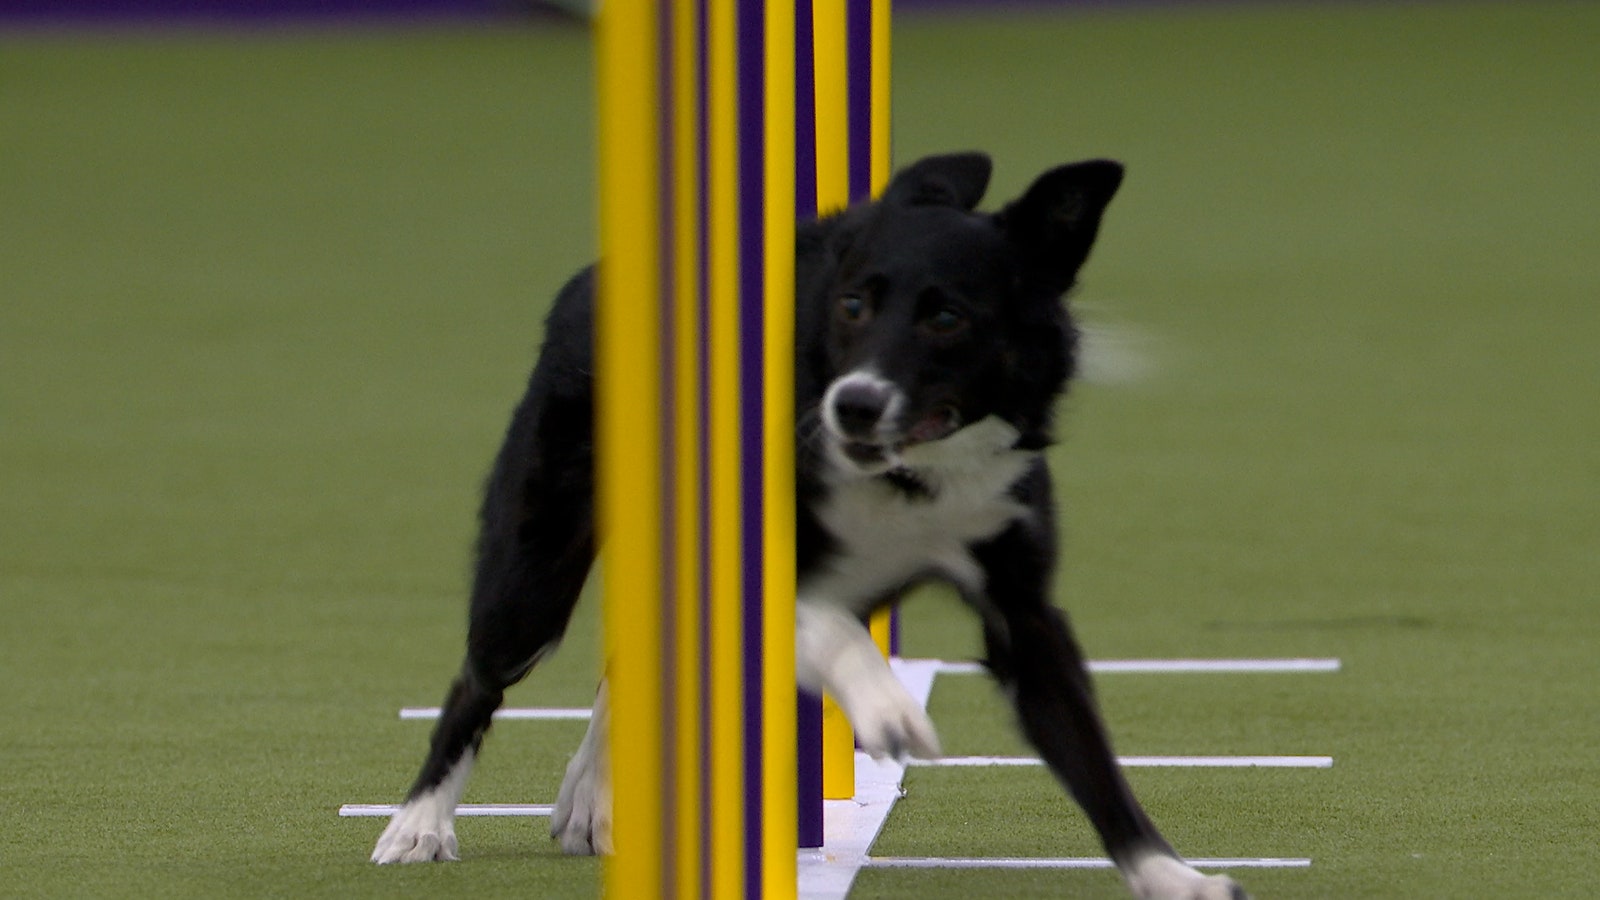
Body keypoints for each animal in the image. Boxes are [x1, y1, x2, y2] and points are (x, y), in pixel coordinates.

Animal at [374, 153, 1248, 896]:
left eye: (948, 318)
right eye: (852, 304)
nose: (852, 404)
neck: (909, 477)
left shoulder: (1022, 607)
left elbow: (1092, 758)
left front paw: (1173, 876)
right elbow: (827, 625)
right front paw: (890, 710)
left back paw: (590, 798)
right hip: (535, 566)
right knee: (480, 679)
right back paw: (419, 824)